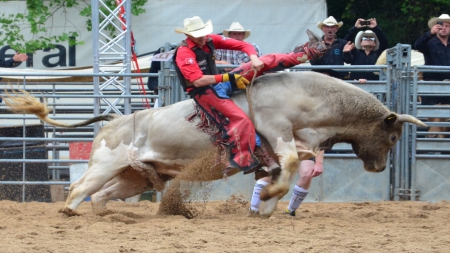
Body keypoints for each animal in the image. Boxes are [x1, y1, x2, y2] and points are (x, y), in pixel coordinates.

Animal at [3, 71, 426, 217]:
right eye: (392, 136)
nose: (378, 168)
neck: (308, 98)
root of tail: (115, 120)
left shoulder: (289, 149)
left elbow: (289, 172)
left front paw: (264, 206)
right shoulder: (278, 134)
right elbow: (288, 167)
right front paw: (267, 197)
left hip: (134, 177)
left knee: (103, 196)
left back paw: (109, 216)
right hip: (105, 163)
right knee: (78, 188)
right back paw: (69, 213)